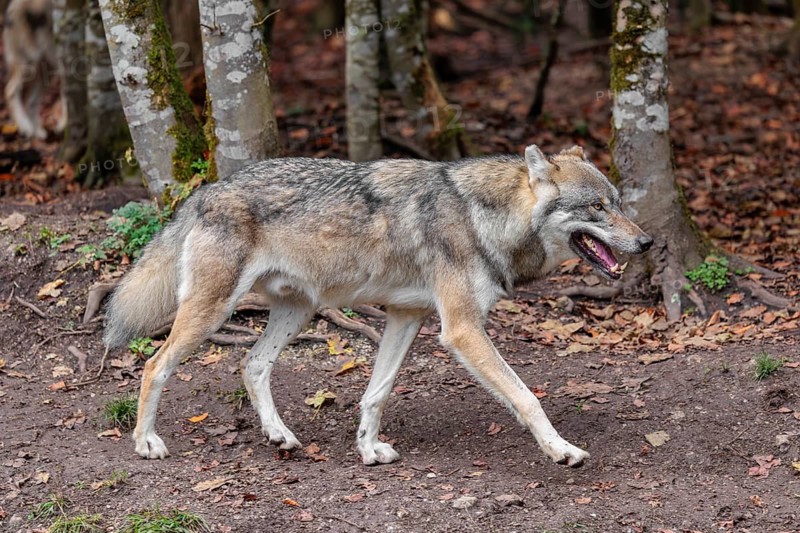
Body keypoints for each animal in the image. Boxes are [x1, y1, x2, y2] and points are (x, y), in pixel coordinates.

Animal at [3, 0, 63, 139]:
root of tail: (11, 5)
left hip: (48, 72)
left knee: (31, 101)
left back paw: (38, 132)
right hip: (29, 64)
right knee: (10, 90)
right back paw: (26, 128)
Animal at [105, 145, 652, 467]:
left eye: (617, 203)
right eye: (597, 208)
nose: (647, 242)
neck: (483, 217)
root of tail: (206, 191)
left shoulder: (407, 316)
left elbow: (378, 391)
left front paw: (368, 448)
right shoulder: (461, 329)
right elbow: (526, 396)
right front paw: (561, 449)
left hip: (297, 312)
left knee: (252, 364)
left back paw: (280, 436)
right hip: (212, 313)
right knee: (154, 365)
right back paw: (146, 443)